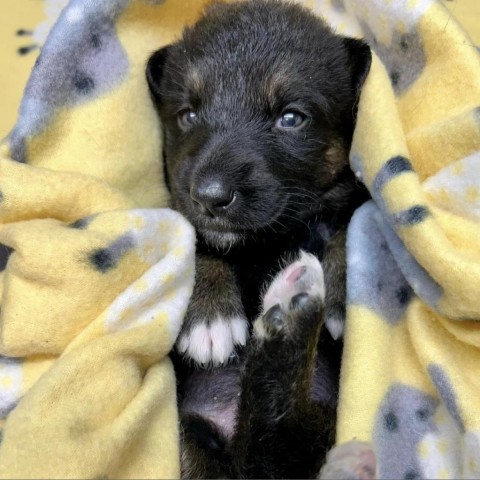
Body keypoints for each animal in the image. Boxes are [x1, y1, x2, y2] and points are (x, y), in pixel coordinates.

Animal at [146, 0, 372, 476]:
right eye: (187, 115)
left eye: (291, 117)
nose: (210, 196)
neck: (268, 240)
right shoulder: (180, 204)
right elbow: (195, 238)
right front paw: (210, 318)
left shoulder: (351, 196)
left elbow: (348, 220)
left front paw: (342, 290)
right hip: (183, 439)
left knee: (281, 436)